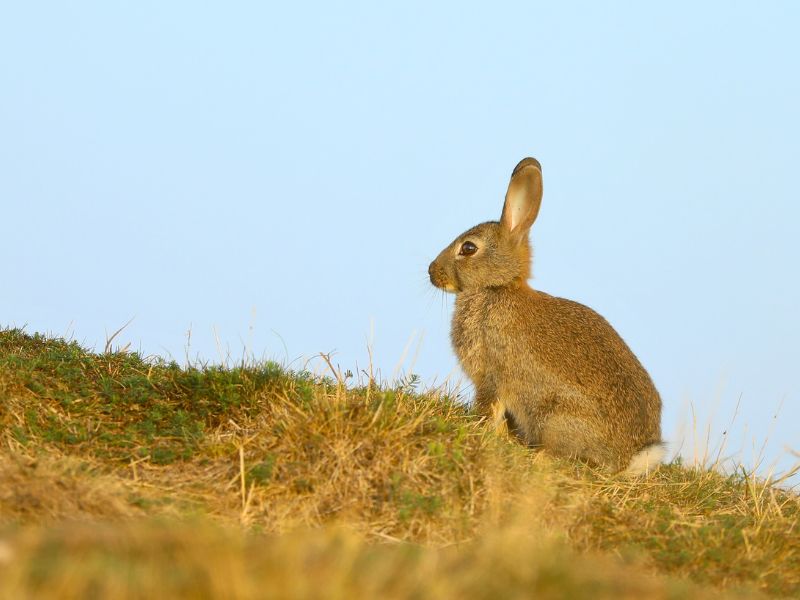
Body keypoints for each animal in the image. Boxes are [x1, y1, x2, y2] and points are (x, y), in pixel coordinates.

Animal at [428, 158, 664, 474]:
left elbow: (490, 408)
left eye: (468, 248)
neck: (497, 287)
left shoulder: (492, 374)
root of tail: (629, 458)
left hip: (556, 417)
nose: (432, 271)